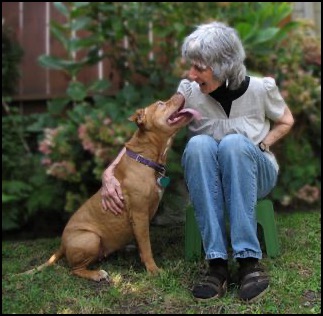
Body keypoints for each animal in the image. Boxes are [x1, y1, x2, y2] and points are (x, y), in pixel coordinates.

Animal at [22, 92, 200, 282]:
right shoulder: (139, 214)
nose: (180, 92)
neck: (145, 158)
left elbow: (142, 243)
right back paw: (96, 274)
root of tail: (62, 245)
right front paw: (153, 270)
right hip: (90, 238)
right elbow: (146, 245)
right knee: (75, 269)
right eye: (160, 103)